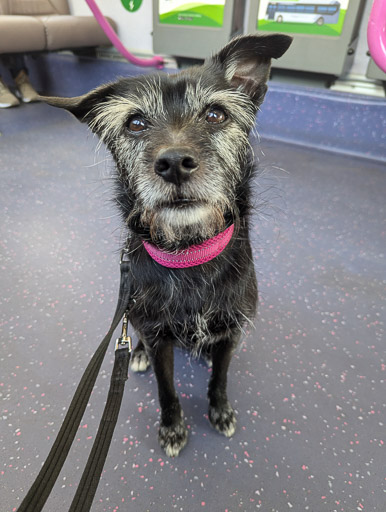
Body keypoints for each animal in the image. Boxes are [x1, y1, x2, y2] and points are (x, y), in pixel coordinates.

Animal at [44, 34, 292, 458]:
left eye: (215, 115)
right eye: (135, 123)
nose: (174, 162)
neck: (190, 253)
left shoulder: (230, 333)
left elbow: (220, 379)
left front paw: (220, 411)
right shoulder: (160, 338)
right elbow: (166, 389)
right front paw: (173, 428)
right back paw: (138, 354)